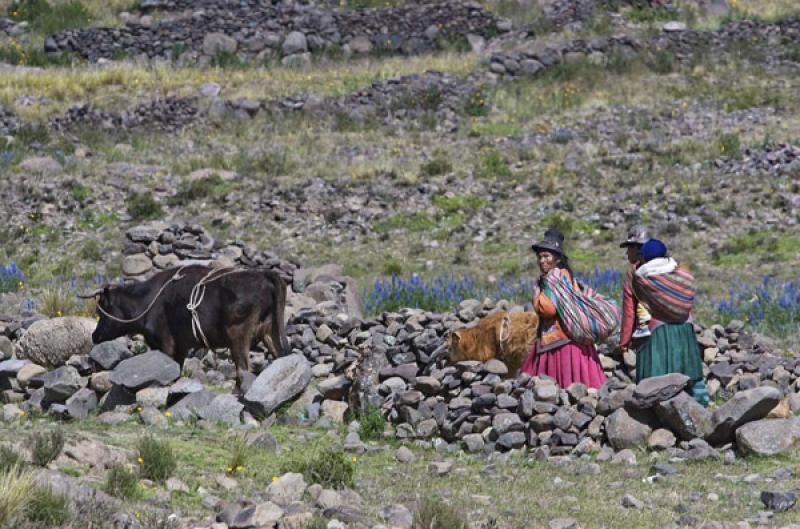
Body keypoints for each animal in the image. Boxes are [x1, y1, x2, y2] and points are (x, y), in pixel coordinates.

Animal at [87, 264, 290, 392]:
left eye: (102, 309)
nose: (94, 335)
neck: (147, 301)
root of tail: (263, 274)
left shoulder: (166, 343)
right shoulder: (181, 347)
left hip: (238, 337)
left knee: (243, 369)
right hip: (269, 332)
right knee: (280, 357)